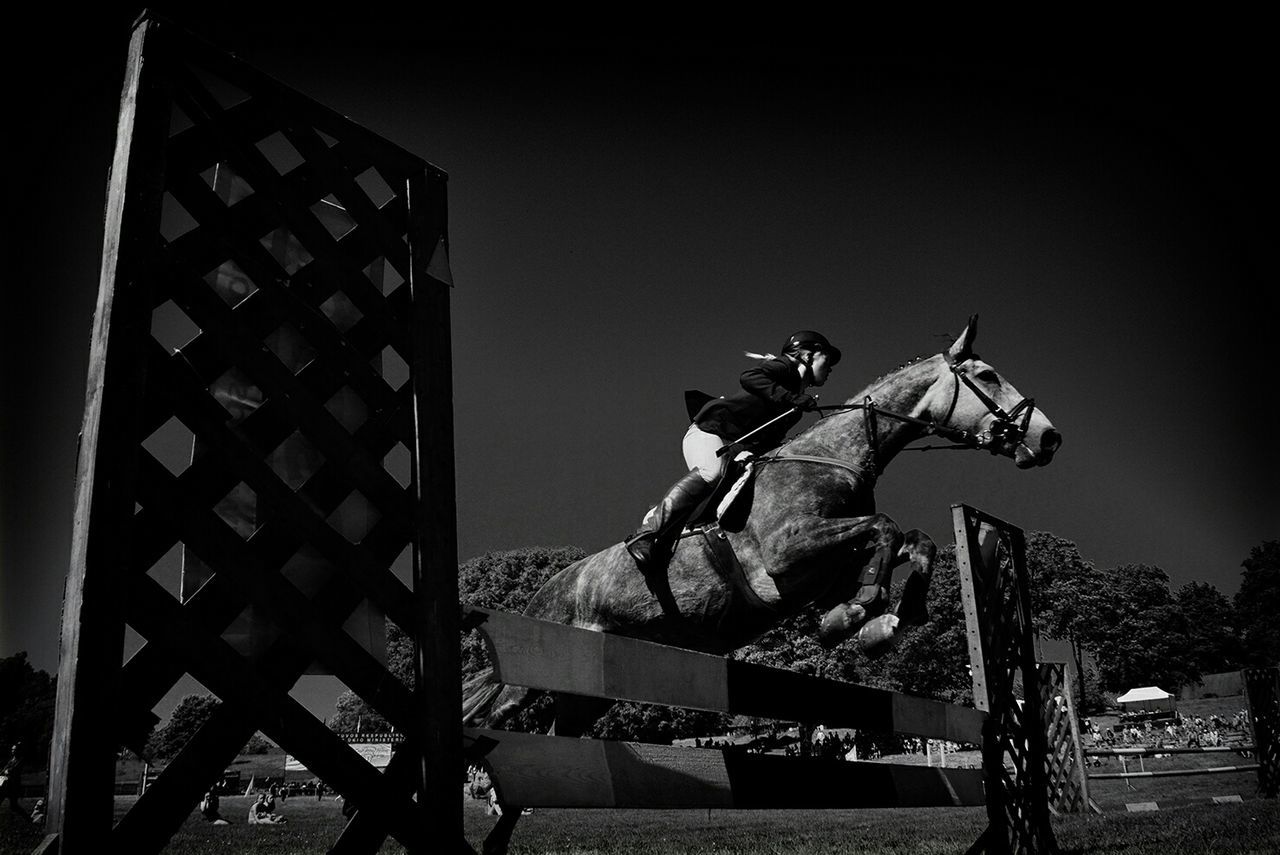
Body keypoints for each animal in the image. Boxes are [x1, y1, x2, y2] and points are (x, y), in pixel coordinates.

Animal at [460, 313, 1059, 737]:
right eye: (987, 376)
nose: (1049, 438)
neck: (834, 459)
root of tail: (542, 590)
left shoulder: (822, 573)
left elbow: (916, 541)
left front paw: (887, 618)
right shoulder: (788, 554)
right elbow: (885, 528)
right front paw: (858, 619)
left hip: (586, 692)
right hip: (531, 672)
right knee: (494, 713)